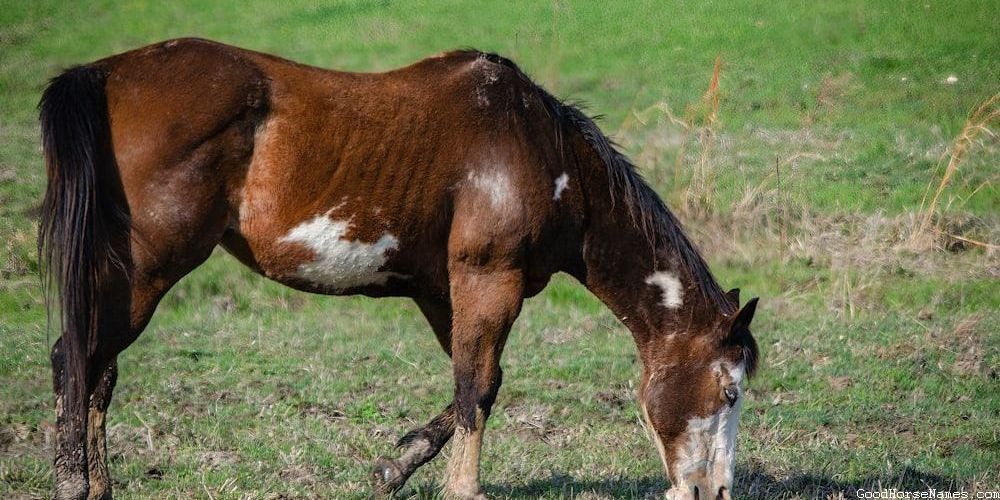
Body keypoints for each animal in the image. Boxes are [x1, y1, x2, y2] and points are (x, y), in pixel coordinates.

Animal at [38, 38, 760, 500]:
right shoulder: (488, 281)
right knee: (79, 358)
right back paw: (73, 479)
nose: (717, 490)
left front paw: (396, 468)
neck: (542, 151)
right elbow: (477, 390)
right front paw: (462, 489)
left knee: (96, 370)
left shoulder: (447, 294)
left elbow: (476, 386)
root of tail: (105, 74)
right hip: (145, 271)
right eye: (729, 393)